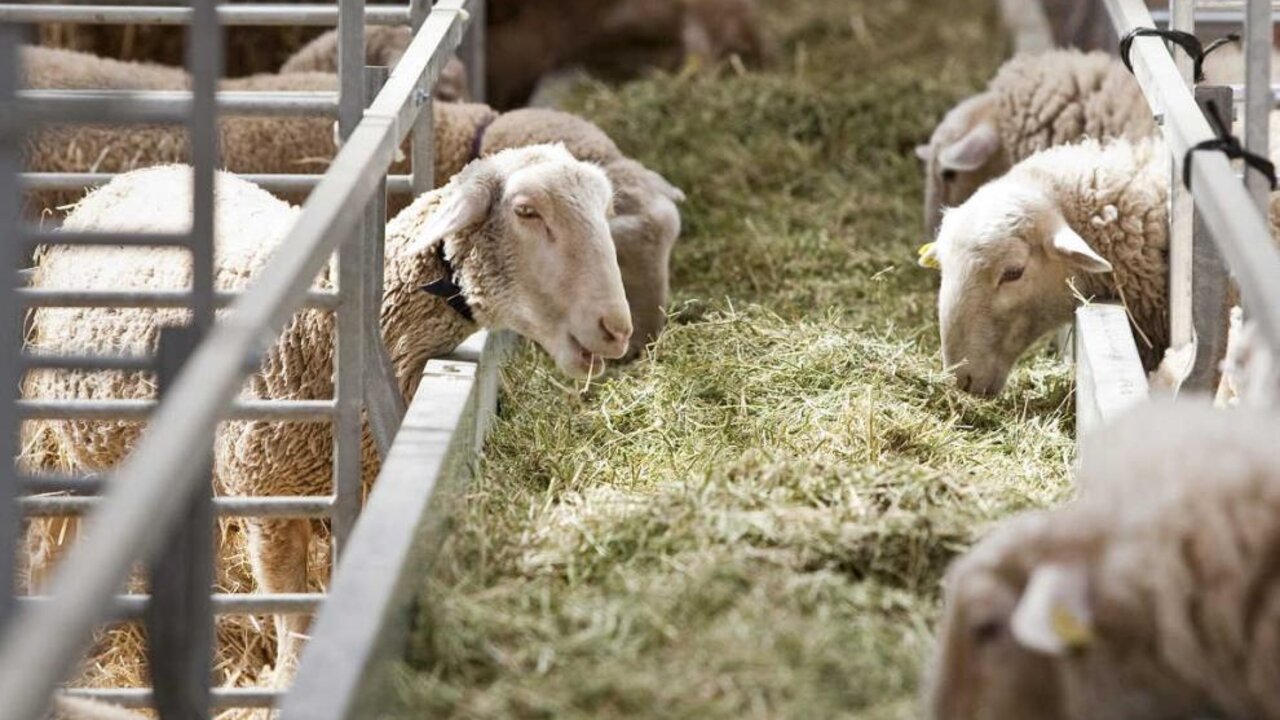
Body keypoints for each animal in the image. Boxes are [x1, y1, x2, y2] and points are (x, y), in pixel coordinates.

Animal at [24, 148, 632, 679]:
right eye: (527, 211)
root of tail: (140, 174)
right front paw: (291, 676)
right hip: (70, 450)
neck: (330, 329)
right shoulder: (269, 500)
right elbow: (292, 607)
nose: (617, 328)